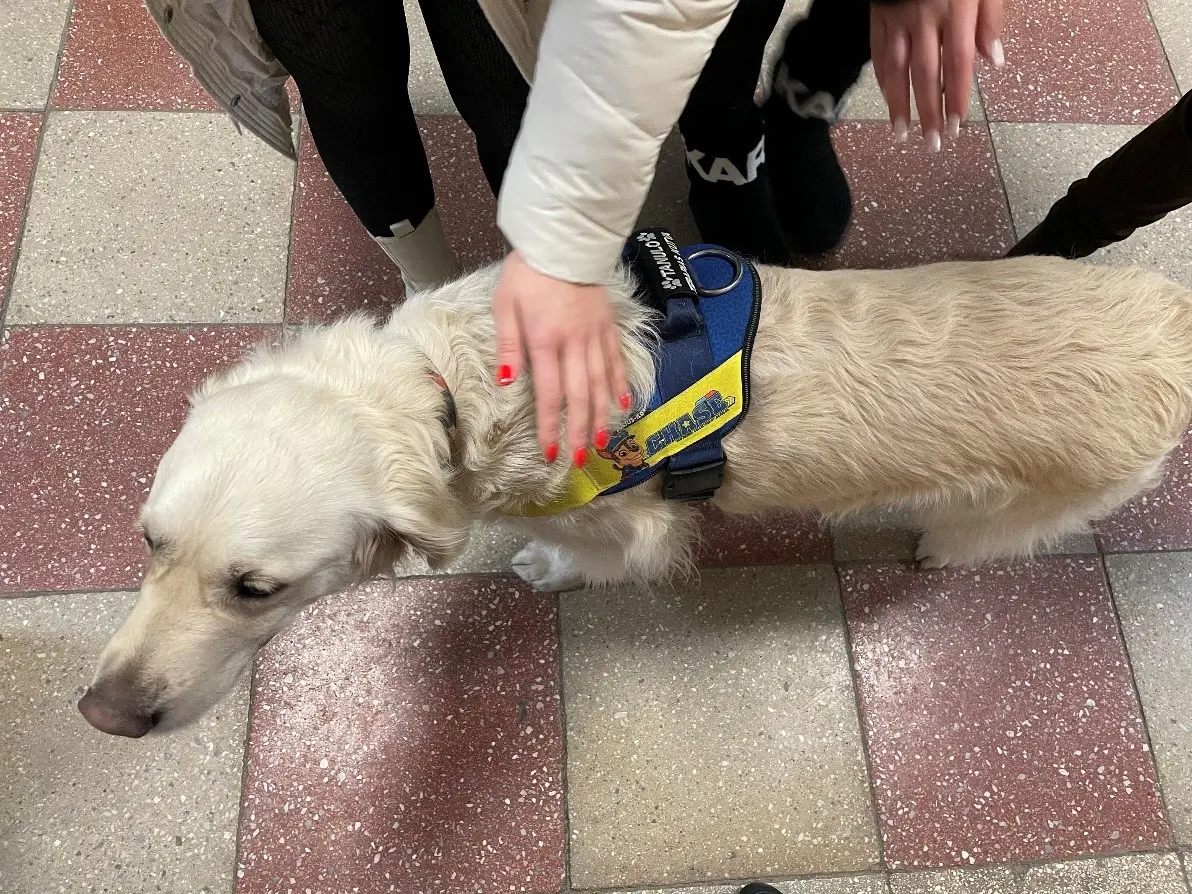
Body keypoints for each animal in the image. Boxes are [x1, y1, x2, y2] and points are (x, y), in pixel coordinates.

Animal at [78, 255, 1192, 737]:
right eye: (147, 542)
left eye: (254, 589)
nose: (103, 715)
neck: (456, 390)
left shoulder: (635, 526)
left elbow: (589, 554)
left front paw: (544, 568)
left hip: (1030, 502)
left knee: (988, 535)